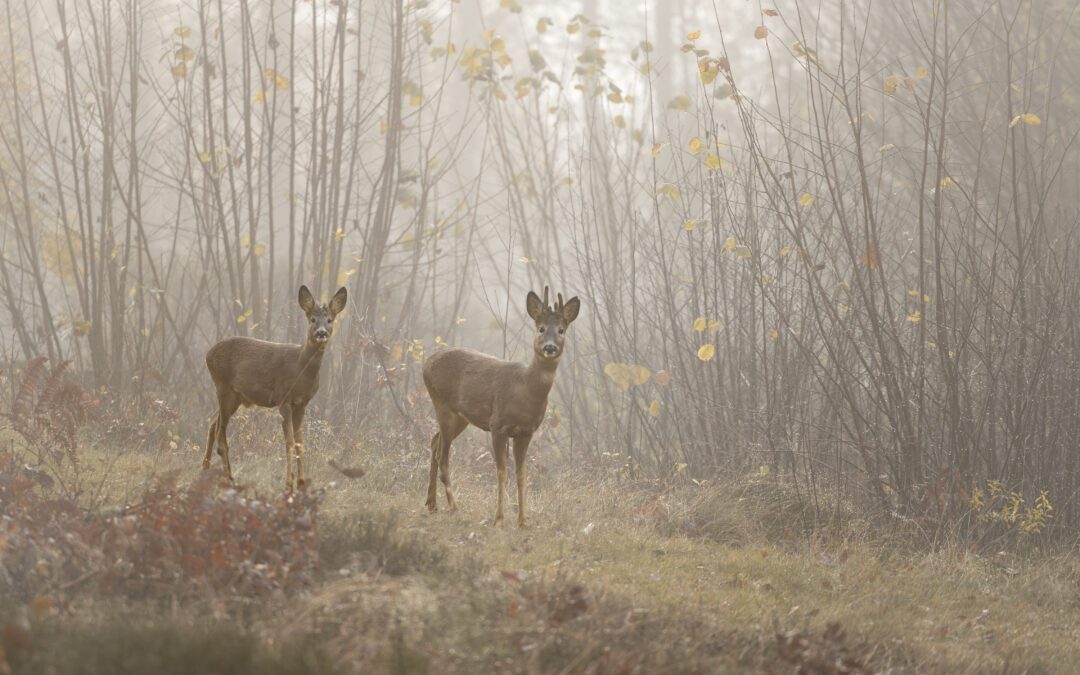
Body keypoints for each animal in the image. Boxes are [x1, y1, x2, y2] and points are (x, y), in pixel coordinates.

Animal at [203, 285, 345, 490]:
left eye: (330, 320)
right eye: (312, 319)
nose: (321, 333)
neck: (300, 368)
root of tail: (208, 354)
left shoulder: (302, 404)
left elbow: (300, 442)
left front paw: (301, 483)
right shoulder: (283, 399)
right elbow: (289, 442)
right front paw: (289, 484)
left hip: (235, 397)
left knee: (212, 425)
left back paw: (205, 470)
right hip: (223, 386)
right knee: (220, 433)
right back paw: (230, 478)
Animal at [421, 285, 583, 527]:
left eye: (561, 330)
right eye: (541, 328)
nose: (550, 347)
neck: (525, 391)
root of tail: (426, 364)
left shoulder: (526, 432)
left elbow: (522, 475)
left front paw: (523, 520)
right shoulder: (498, 426)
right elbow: (501, 473)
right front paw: (499, 519)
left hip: (460, 417)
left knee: (434, 442)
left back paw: (431, 504)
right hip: (442, 404)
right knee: (443, 457)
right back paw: (454, 507)